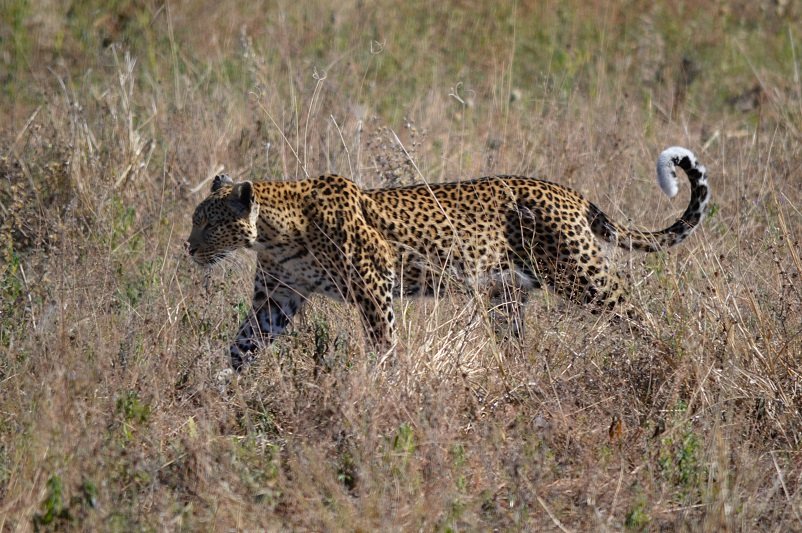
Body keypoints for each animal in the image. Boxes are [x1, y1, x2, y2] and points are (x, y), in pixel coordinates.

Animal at [186, 145, 708, 370]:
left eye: (208, 224)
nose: (188, 248)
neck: (274, 234)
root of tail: (571, 194)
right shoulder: (277, 298)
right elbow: (242, 345)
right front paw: (216, 394)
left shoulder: (374, 285)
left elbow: (385, 345)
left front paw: (388, 389)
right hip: (507, 295)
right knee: (517, 344)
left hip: (583, 277)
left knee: (638, 316)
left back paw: (669, 358)